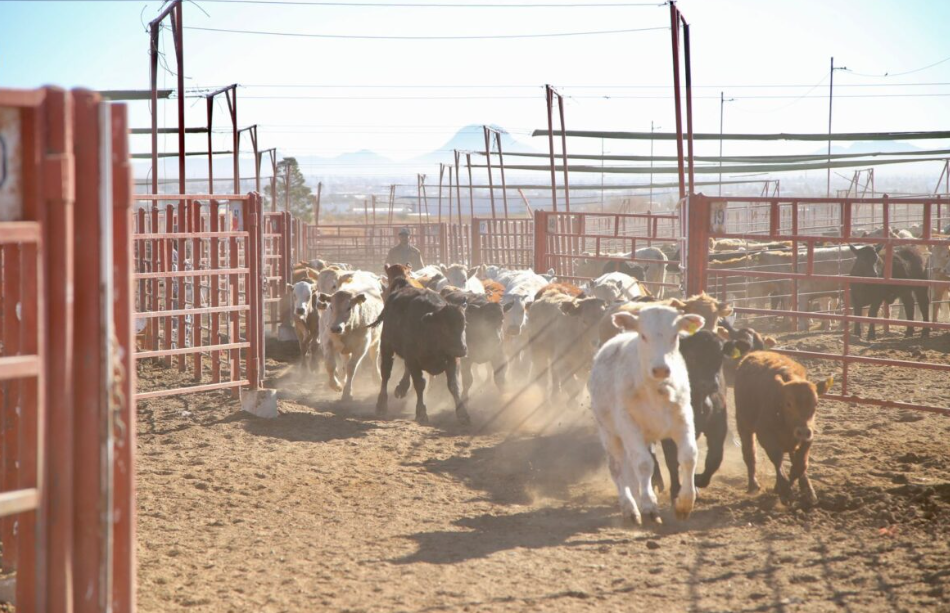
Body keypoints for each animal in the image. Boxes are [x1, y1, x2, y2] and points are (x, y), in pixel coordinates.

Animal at [376, 284, 472, 424]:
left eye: (464, 325)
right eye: (444, 328)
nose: (461, 349)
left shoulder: (453, 360)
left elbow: (454, 386)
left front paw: (463, 414)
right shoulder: (413, 360)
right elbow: (420, 384)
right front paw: (421, 413)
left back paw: (402, 388)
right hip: (386, 345)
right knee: (385, 374)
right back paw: (381, 405)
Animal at [588, 304, 708, 524]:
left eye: (675, 335)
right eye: (643, 335)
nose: (661, 369)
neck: (654, 391)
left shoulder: (684, 418)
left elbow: (688, 455)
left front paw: (685, 503)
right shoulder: (628, 424)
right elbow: (643, 464)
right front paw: (649, 506)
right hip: (609, 433)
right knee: (618, 467)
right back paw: (629, 507)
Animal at [736, 352, 832, 504]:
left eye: (816, 404)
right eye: (788, 404)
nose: (803, 431)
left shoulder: (808, 437)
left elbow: (800, 465)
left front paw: (802, 490)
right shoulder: (765, 434)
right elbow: (777, 458)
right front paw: (784, 489)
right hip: (743, 424)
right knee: (749, 454)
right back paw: (753, 485)